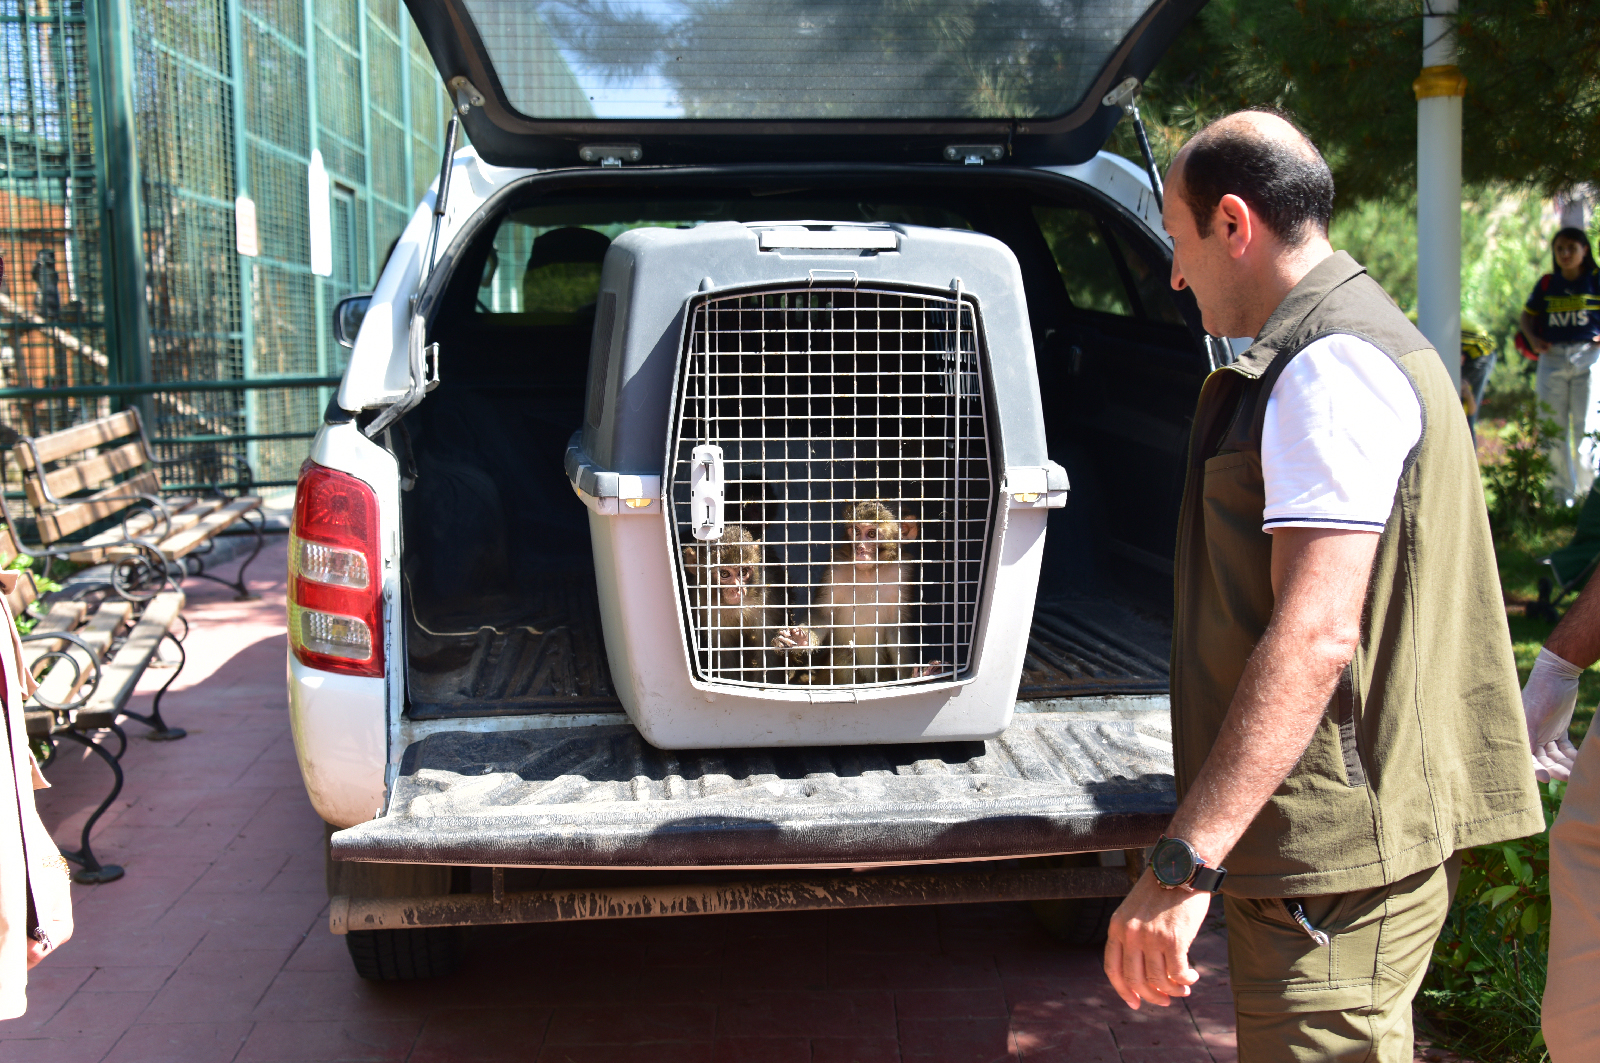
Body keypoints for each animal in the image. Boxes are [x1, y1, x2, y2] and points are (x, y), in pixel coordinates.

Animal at [771, 499, 940, 685]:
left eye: (872, 534)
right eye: (856, 531)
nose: (860, 549)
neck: (869, 572)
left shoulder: (903, 573)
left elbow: (898, 628)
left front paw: (914, 675)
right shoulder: (835, 568)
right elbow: (823, 615)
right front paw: (800, 640)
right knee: (844, 654)